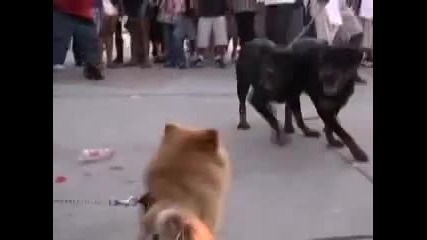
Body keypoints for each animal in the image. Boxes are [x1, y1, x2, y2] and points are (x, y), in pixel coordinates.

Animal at [236, 38, 370, 161]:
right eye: (323, 62)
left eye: (340, 62)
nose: (324, 75)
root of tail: (248, 43)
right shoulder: (258, 99)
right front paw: (358, 153)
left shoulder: (334, 103)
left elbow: (330, 126)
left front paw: (331, 140)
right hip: (242, 85)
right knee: (242, 104)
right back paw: (244, 123)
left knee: (291, 111)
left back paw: (294, 128)